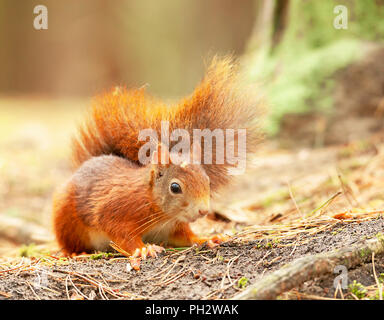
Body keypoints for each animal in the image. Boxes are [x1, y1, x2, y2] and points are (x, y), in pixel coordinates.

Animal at [53, 57, 264, 258]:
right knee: (69, 241)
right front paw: (142, 249)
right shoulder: (115, 209)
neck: (160, 211)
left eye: (208, 181)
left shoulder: (173, 227)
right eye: (175, 187)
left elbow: (186, 237)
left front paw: (207, 238)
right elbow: (121, 233)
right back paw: (74, 253)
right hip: (66, 219)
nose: (203, 211)